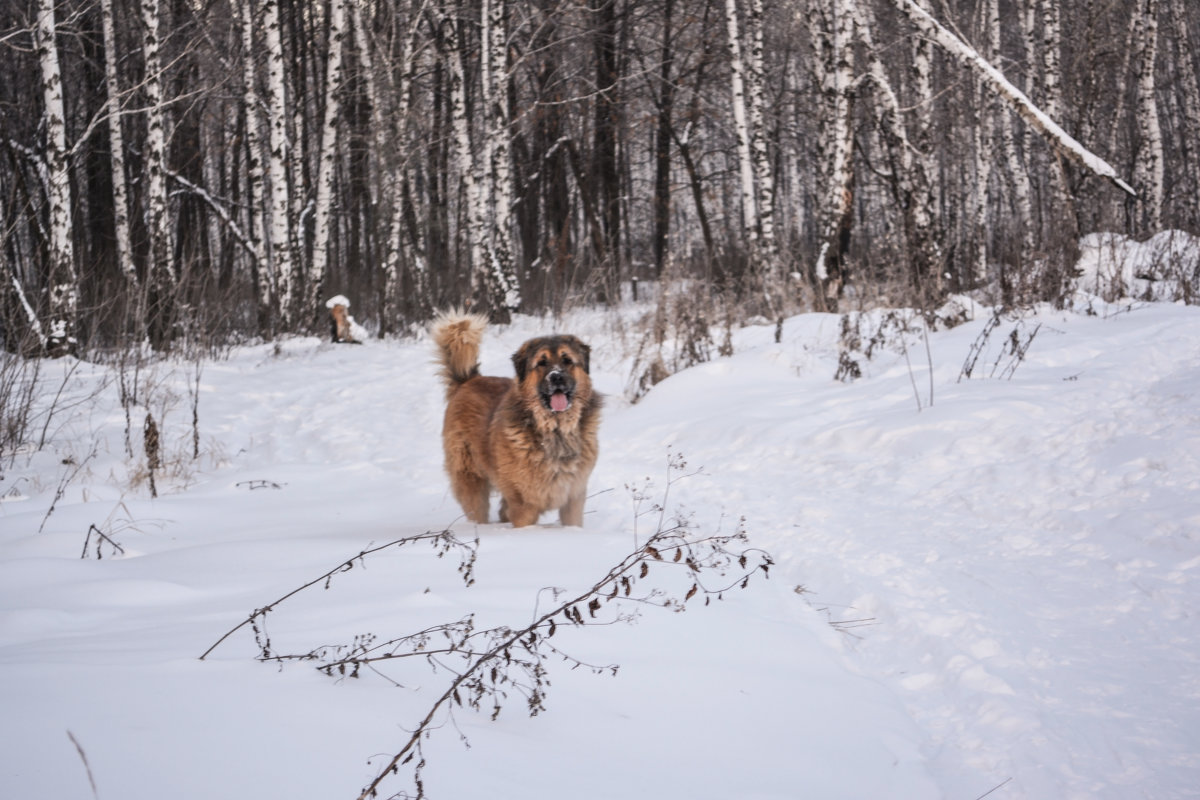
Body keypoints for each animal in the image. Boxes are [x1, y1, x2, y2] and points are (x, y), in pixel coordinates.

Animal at [429, 311, 600, 532]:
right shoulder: (524, 503)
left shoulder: (574, 496)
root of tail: (469, 380)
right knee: (477, 509)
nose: (556, 377)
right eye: (542, 363)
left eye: (567, 360)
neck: (556, 430)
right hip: (471, 478)